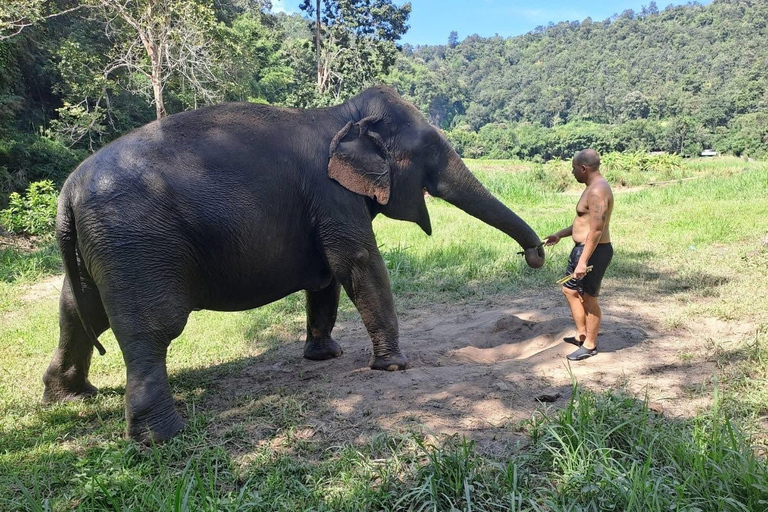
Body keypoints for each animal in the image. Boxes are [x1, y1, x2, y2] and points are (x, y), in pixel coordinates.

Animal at [42, 86, 545, 443]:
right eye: (429, 152)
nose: (536, 255)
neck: (343, 115)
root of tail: (67, 192)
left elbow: (326, 277)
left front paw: (326, 356)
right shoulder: (332, 193)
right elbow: (357, 262)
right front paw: (395, 367)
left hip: (102, 249)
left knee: (78, 313)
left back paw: (68, 397)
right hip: (135, 242)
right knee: (153, 327)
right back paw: (162, 437)